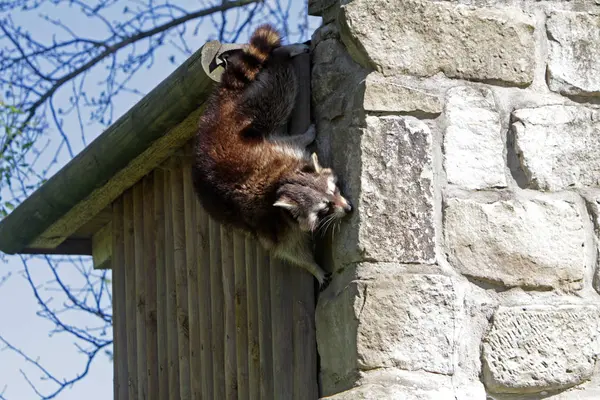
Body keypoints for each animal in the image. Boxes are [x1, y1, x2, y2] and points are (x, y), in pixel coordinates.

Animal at [192, 24, 352, 288]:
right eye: (325, 207)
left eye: (334, 191)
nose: (348, 208)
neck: (281, 181)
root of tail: (211, 121)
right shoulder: (271, 223)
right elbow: (289, 249)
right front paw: (313, 267)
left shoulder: (277, 152)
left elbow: (293, 141)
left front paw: (306, 136)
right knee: (277, 94)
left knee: (277, 93)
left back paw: (282, 54)